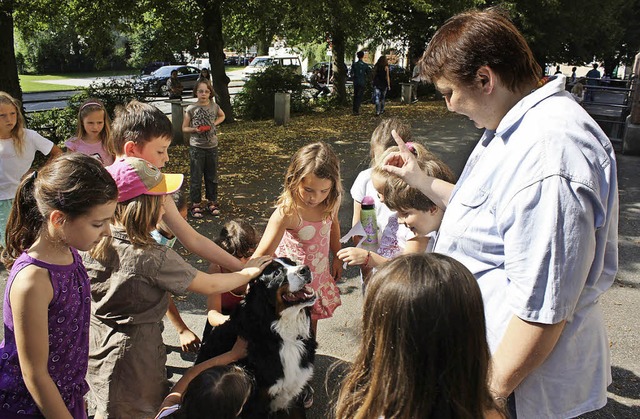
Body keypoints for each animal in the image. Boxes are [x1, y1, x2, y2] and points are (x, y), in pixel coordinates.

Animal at [195, 258, 316, 418]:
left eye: (293, 263)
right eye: (277, 273)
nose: (305, 269)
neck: (282, 334)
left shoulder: (295, 394)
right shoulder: (257, 403)